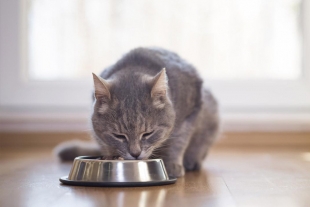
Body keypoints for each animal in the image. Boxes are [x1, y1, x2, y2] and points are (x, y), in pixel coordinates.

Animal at [55, 47, 220, 178]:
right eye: (119, 136)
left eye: (148, 133)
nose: (135, 154)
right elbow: (105, 143)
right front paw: (110, 157)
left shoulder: (190, 114)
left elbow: (178, 142)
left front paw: (172, 165)